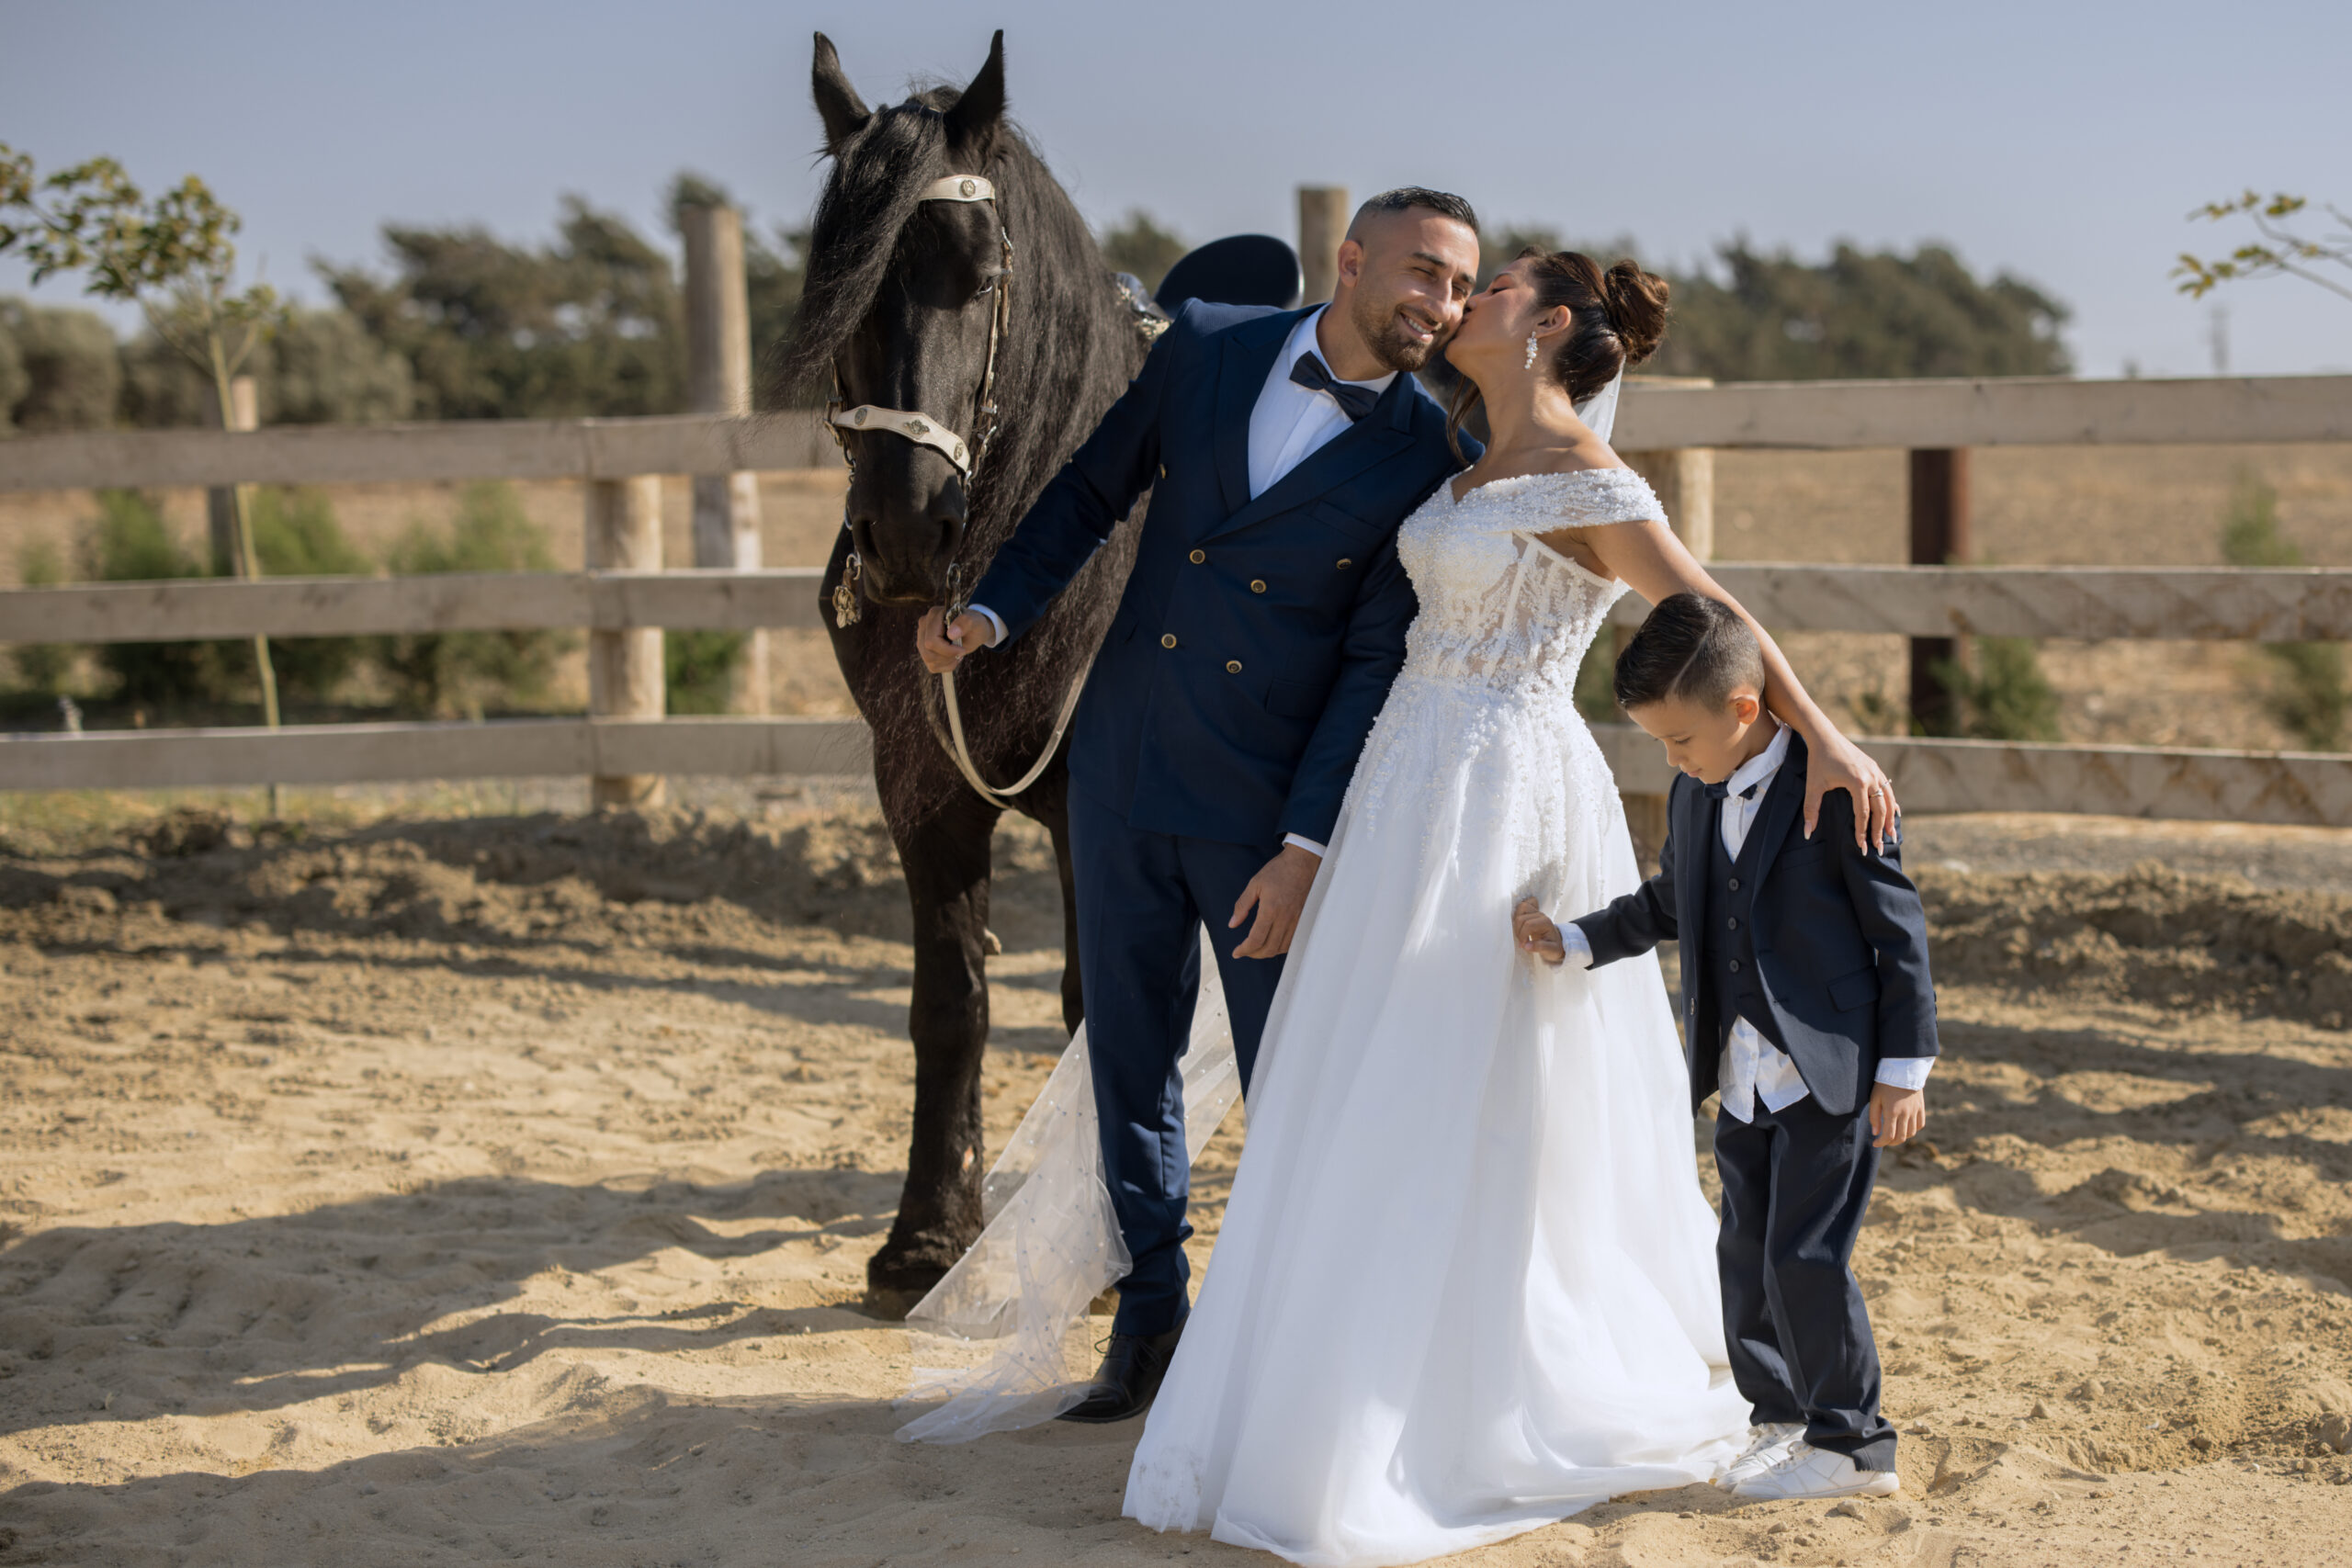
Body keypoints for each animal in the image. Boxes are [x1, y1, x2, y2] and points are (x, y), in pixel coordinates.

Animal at [782, 30, 1156, 1304]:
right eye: (839, 282)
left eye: (985, 275)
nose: (907, 533)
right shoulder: (921, 794)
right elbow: (951, 1005)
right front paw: (927, 1235)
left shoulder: (1100, 812)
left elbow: (1099, 1004)